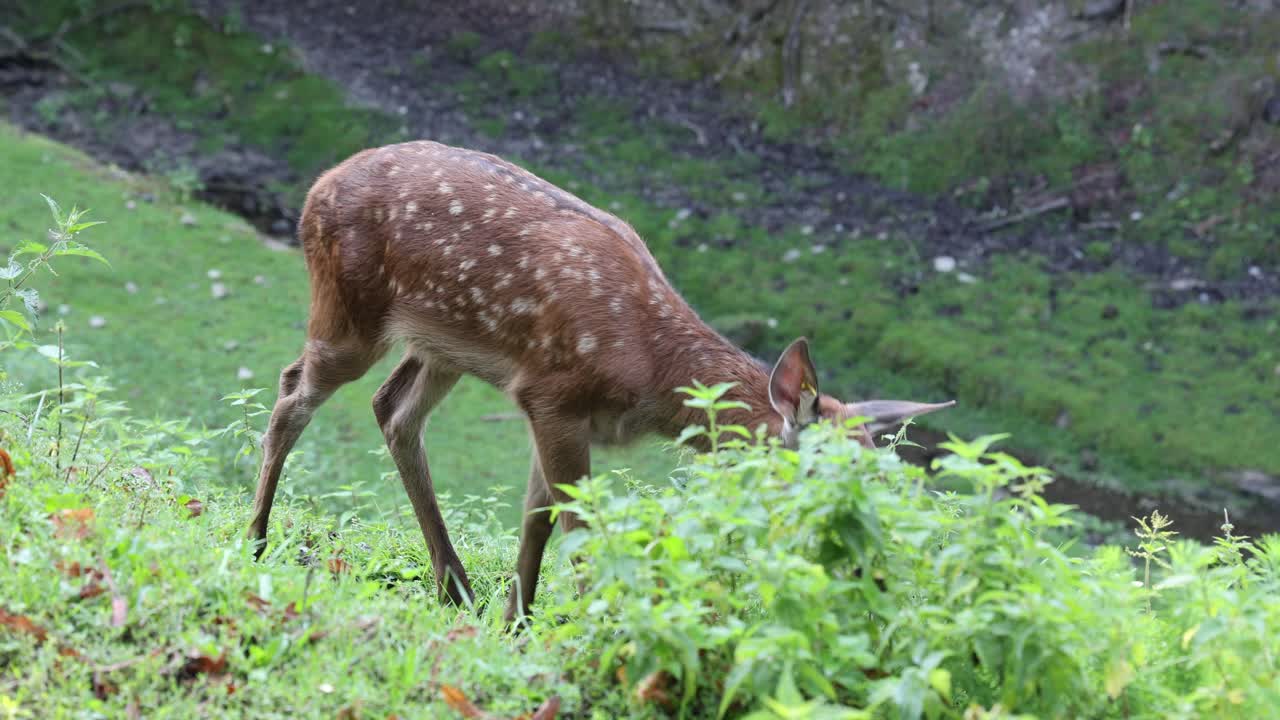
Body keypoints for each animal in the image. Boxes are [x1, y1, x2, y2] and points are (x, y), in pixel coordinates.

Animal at [246, 140, 954, 624]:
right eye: (819, 479)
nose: (873, 573)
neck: (651, 376)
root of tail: (315, 187)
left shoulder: (548, 407)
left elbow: (535, 517)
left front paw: (518, 621)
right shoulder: (553, 393)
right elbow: (577, 526)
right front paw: (593, 624)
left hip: (442, 344)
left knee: (392, 410)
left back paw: (454, 584)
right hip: (349, 309)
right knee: (292, 391)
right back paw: (254, 540)